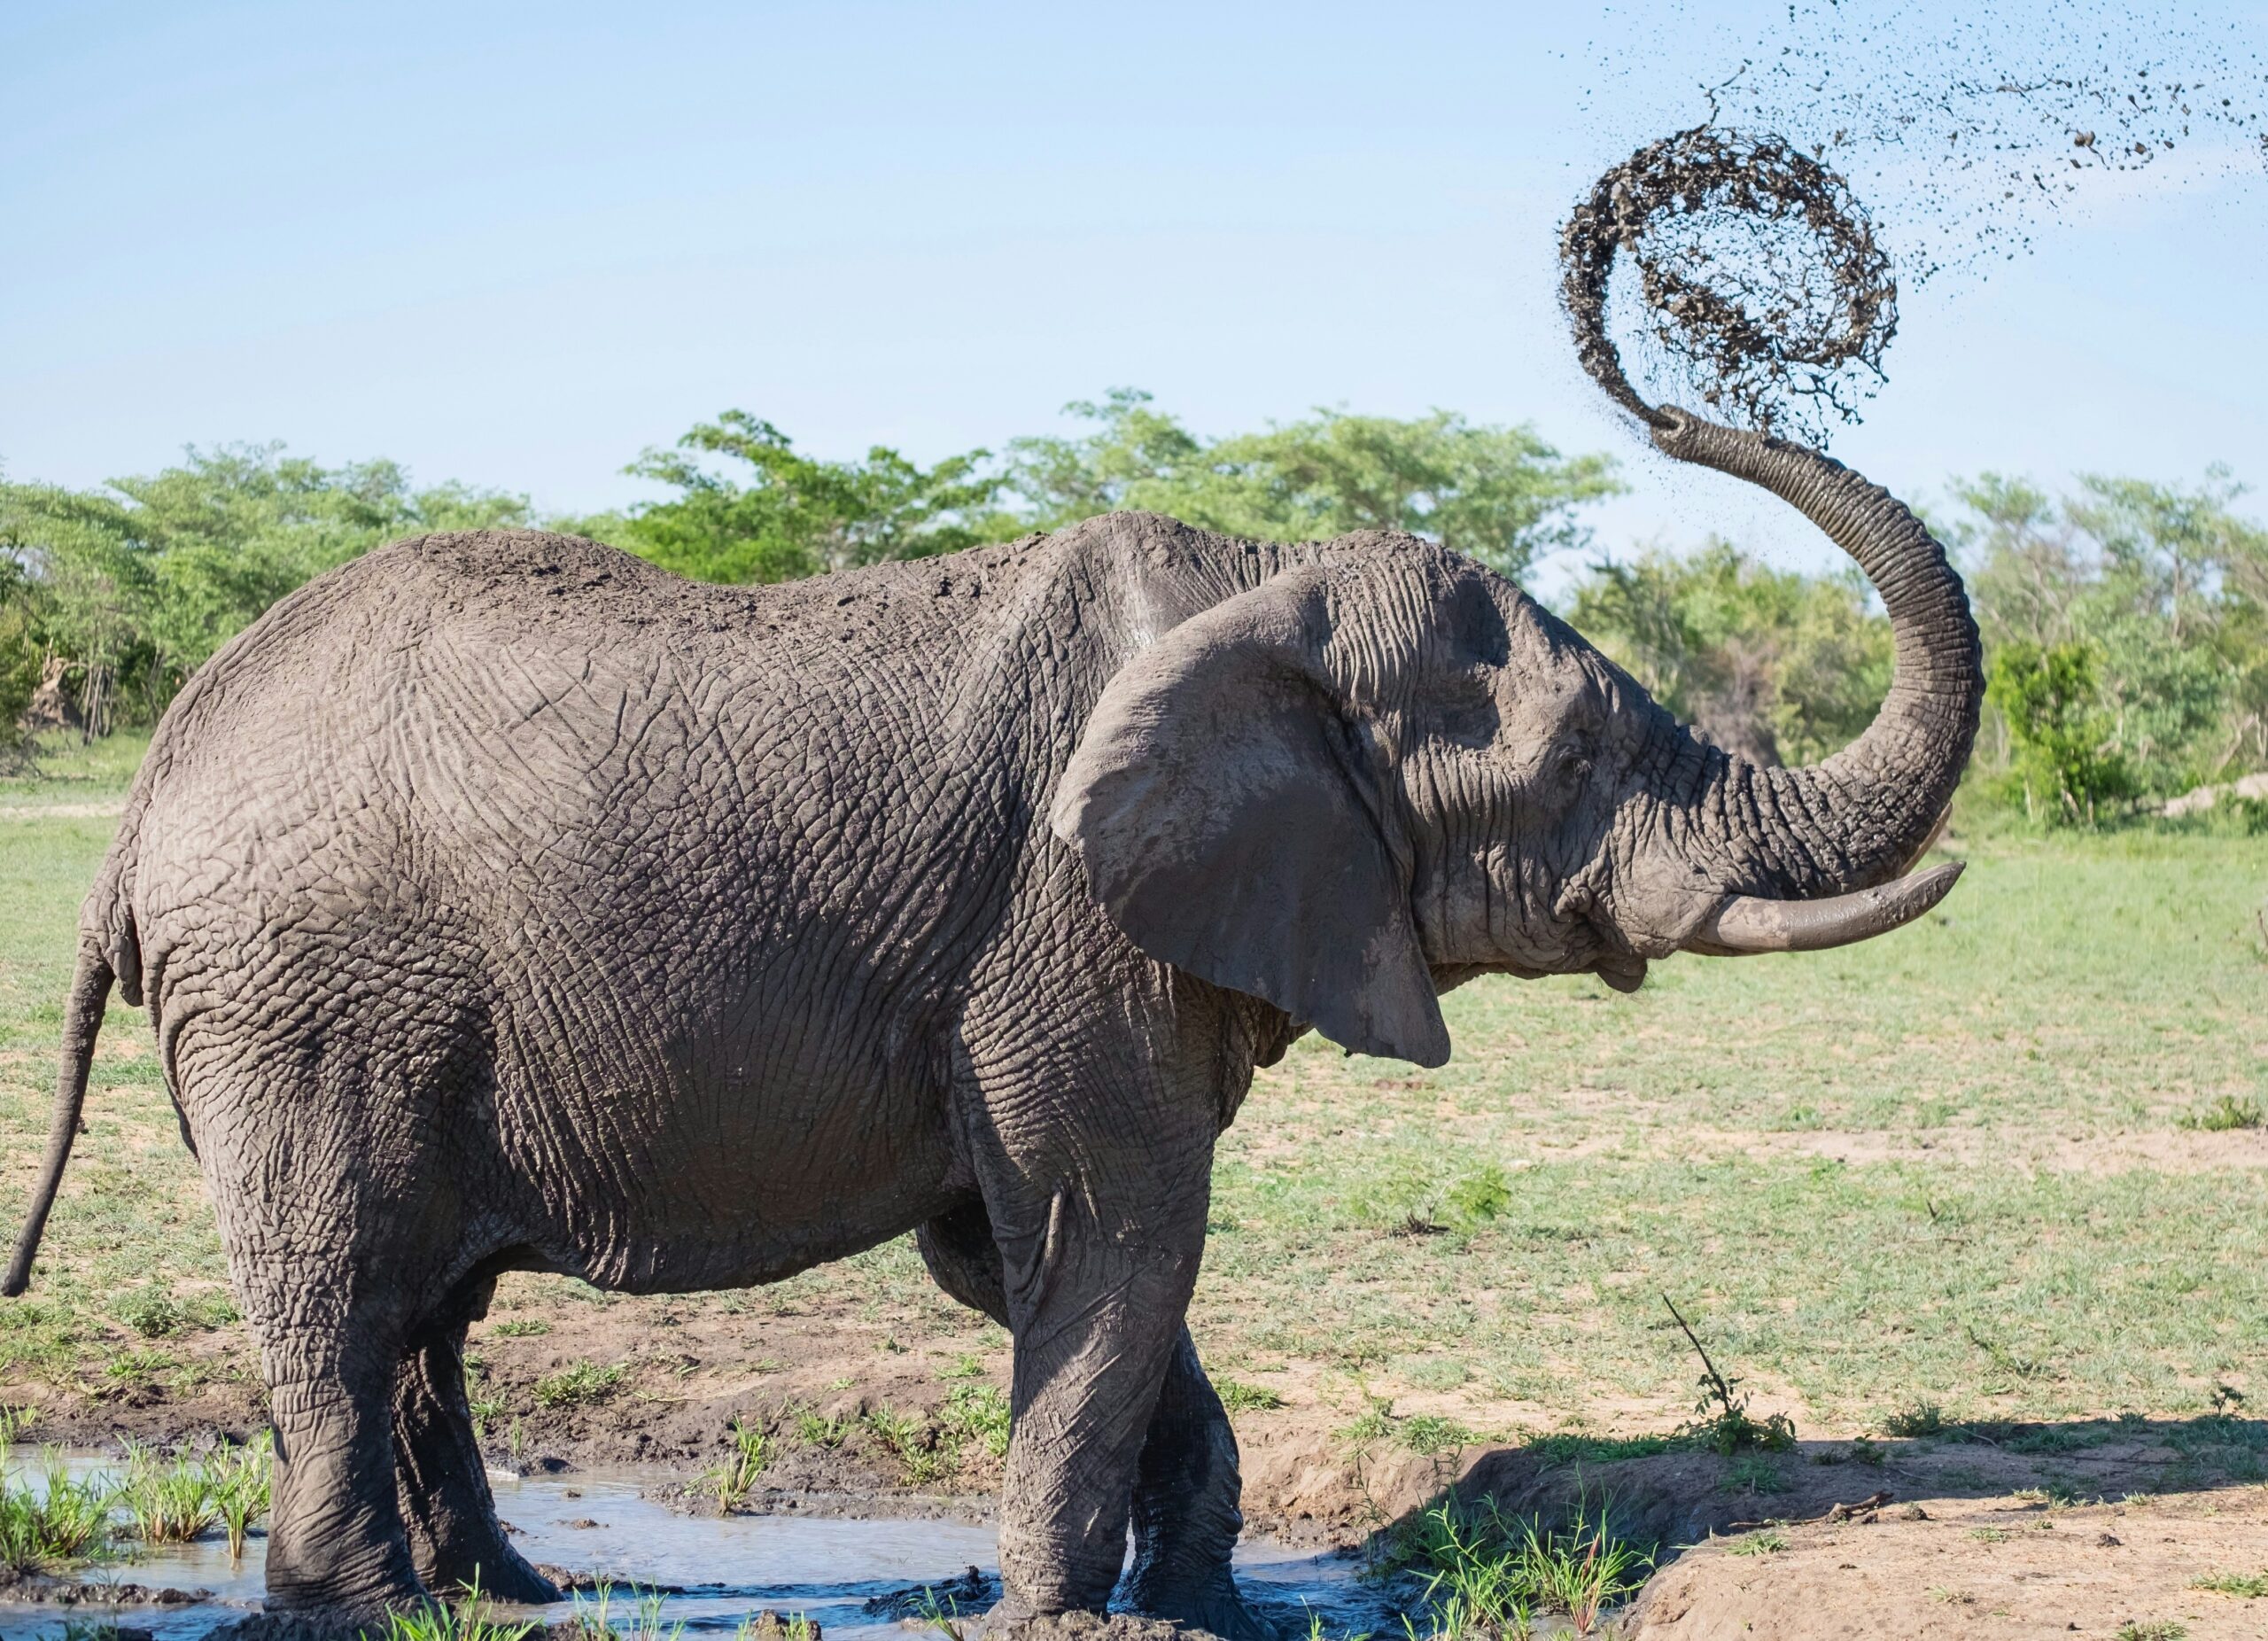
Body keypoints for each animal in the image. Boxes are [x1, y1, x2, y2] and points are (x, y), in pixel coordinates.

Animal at [4, 401, 1969, 1634]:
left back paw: (501, 1595)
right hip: (302, 1001)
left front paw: (1200, 1601)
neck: (1257, 585)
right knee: (340, 1284)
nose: (1655, 381)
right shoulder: (1059, 916)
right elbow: (1118, 1224)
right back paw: (361, 1607)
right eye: (1569, 767)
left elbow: (1035, 1254)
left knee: (423, 1305)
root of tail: (148, 788)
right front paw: (1072, 1615)